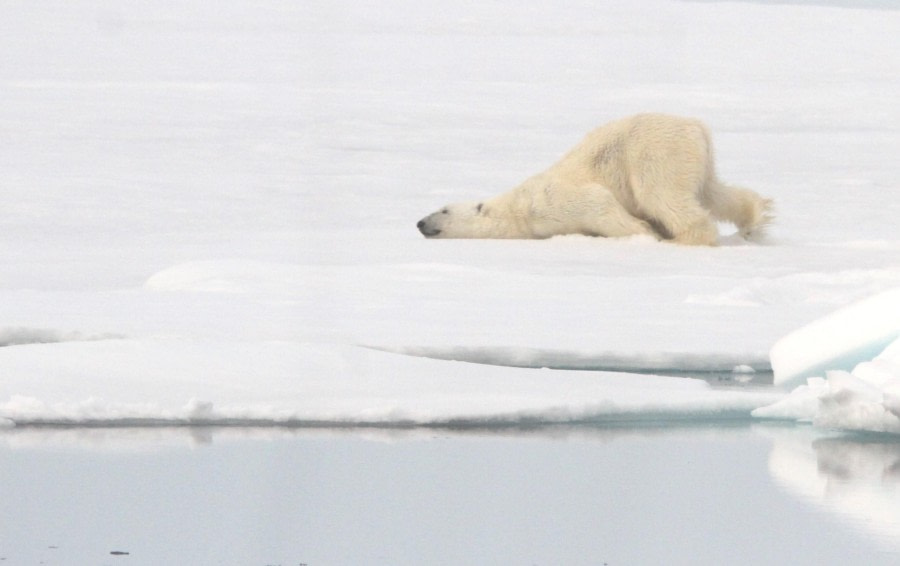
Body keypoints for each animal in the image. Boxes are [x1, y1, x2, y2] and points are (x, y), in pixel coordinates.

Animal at [418, 114, 768, 247]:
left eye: (443, 209)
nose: (420, 222)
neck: (516, 210)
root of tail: (696, 126)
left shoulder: (549, 200)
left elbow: (599, 203)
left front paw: (646, 233)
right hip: (693, 158)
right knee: (712, 192)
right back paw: (757, 216)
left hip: (654, 152)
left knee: (661, 195)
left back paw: (683, 238)